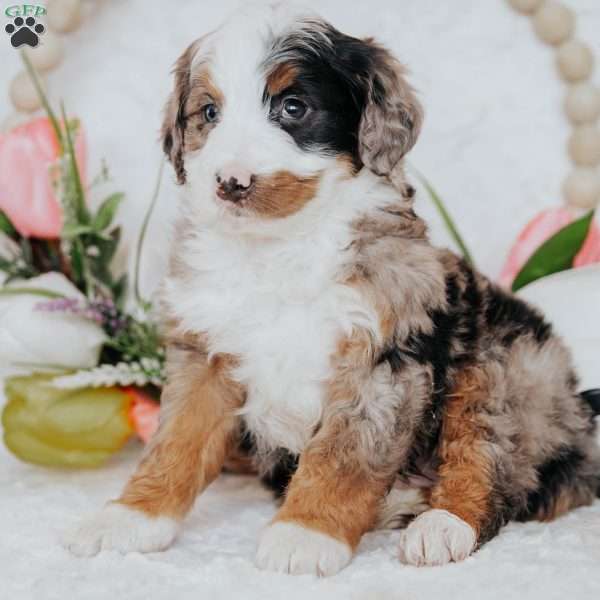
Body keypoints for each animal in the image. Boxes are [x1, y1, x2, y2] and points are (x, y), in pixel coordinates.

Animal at [64, 4, 600, 576]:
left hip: (505, 369)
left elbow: (346, 453)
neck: (278, 248)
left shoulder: (380, 357)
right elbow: (176, 442)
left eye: (293, 107)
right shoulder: (205, 353)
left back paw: (440, 525)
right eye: (209, 112)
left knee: (488, 457)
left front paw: (305, 533)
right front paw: (131, 516)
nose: (231, 182)